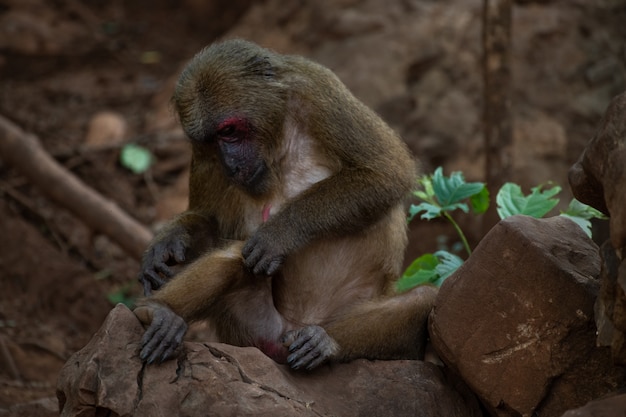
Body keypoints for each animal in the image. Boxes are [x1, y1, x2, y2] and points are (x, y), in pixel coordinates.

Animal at [135, 39, 438, 368]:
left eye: (229, 131)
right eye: (209, 141)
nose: (230, 165)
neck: (278, 137)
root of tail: (287, 336)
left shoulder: (317, 89)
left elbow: (387, 172)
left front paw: (278, 235)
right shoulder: (202, 157)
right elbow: (214, 225)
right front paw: (172, 239)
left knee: (422, 299)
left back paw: (324, 343)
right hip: (252, 331)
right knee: (234, 258)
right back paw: (160, 313)